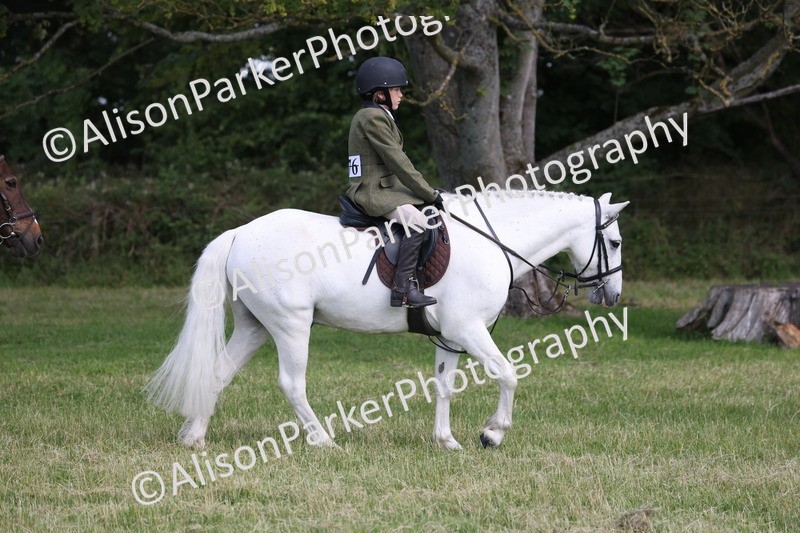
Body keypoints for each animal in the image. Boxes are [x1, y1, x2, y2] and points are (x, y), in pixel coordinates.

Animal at [146, 190, 629, 450]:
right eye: (616, 243)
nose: (613, 295)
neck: (492, 241)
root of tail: (241, 232)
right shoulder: (468, 330)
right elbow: (508, 375)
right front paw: (492, 434)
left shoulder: (450, 337)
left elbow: (444, 386)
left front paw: (446, 441)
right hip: (290, 326)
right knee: (292, 384)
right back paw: (323, 441)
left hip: (254, 326)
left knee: (217, 373)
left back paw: (194, 437)